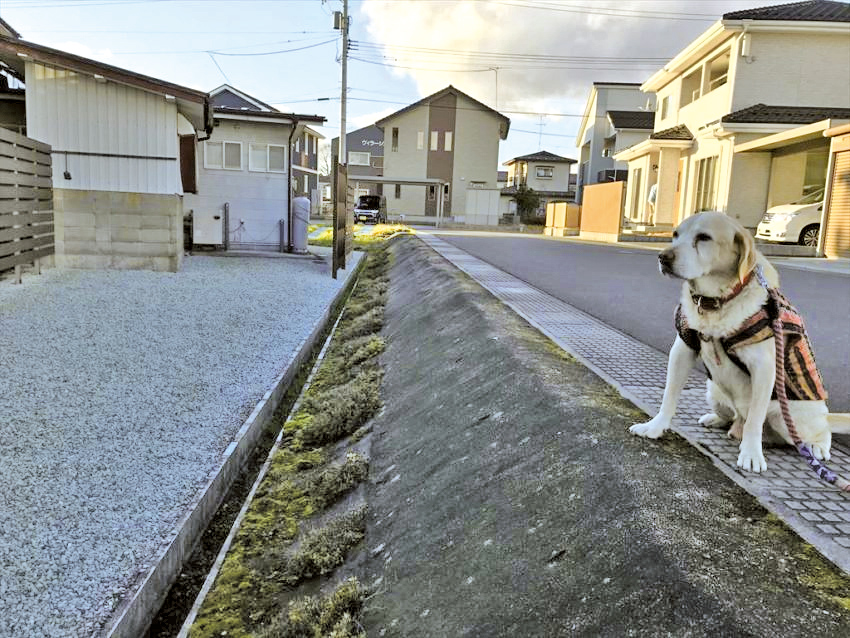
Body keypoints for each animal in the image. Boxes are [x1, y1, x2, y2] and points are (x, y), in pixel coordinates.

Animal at [628, 214, 844, 476]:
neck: (715, 302)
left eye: (704, 237)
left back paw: (817, 447)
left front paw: (751, 454)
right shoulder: (682, 348)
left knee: (816, 432)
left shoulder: (764, 367)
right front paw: (655, 427)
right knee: (732, 417)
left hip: (788, 416)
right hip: (713, 390)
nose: (663, 257)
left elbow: (755, 420)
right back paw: (715, 419)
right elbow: (669, 396)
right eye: (675, 235)